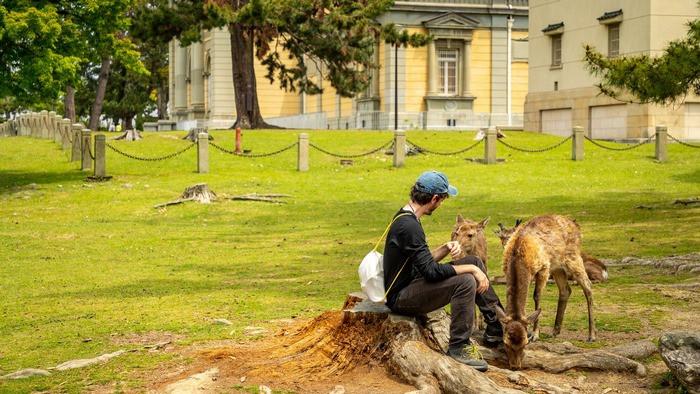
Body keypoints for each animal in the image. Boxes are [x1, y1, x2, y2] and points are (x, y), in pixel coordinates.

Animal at [492, 215, 596, 370]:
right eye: (506, 343)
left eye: (525, 343)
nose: (516, 366)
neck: (518, 253)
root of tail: (576, 225)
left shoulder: (543, 268)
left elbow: (537, 296)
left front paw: (535, 334)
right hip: (557, 266)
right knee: (566, 290)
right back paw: (556, 330)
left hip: (573, 257)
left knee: (588, 286)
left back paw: (591, 335)